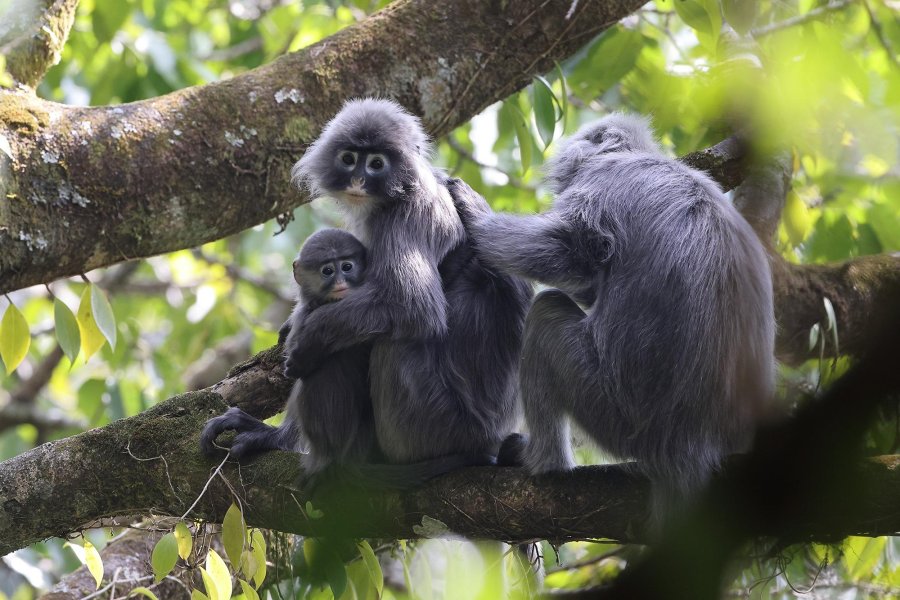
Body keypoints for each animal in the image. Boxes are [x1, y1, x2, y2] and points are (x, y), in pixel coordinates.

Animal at [284, 98, 532, 482]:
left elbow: (412, 306)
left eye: (376, 164)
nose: (358, 180)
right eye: (349, 158)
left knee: (388, 342)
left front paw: (307, 341)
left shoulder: (408, 215)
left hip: (433, 424)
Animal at [454, 113, 776, 524]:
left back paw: (541, 461)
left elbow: (564, 252)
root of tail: (691, 441)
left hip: (612, 412)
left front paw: (473, 211)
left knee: (546, 314)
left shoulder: (604, 183)